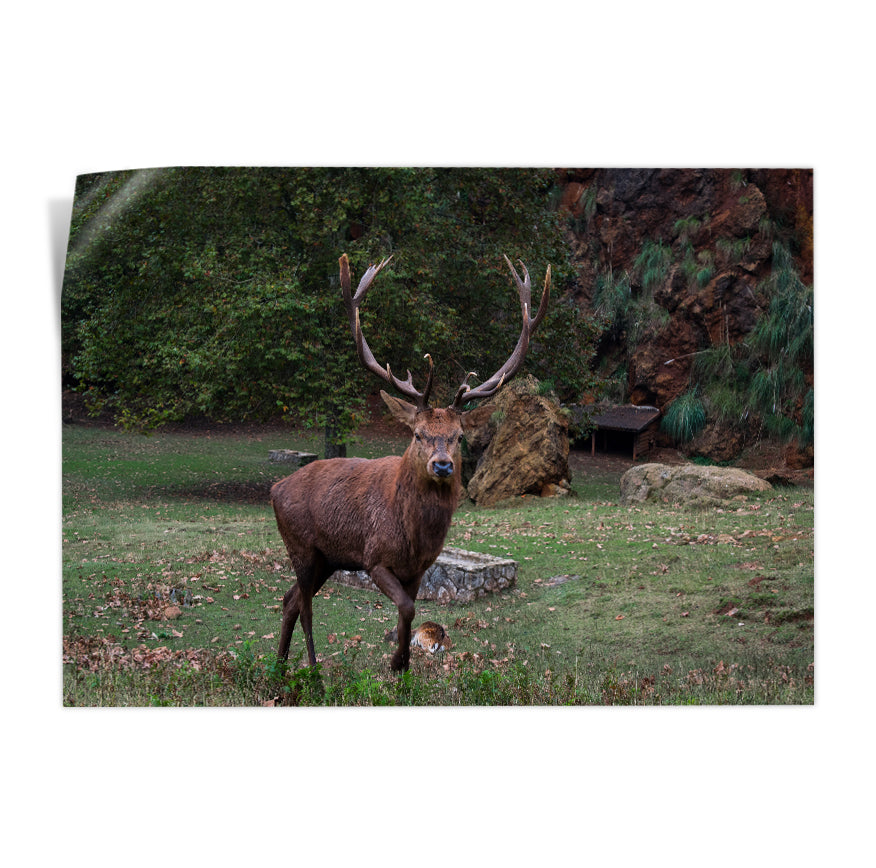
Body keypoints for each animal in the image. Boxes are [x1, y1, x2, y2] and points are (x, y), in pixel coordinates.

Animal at [270, 252, 550, 672]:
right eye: (418, 433)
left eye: (459, 436)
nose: (442, 465)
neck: (415, 536)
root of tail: (274, 488)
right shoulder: (374, 558)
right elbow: (405, 608)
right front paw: (396, 661)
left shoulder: (419, 568)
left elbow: (410, 611)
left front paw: (401, 665)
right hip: (300, 546)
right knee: (303, 605)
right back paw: (312, 666)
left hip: (327, 558)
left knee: (289, 601)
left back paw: (280, 664)